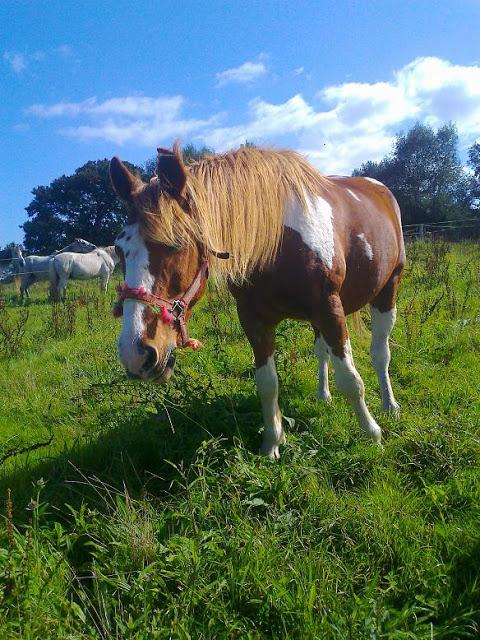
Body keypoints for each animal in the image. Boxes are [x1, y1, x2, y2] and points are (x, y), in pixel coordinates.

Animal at [109, 145, 405, 458]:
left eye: (175, 243)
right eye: (119, 248)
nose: (135, 354)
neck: (275, 241)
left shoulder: (330, 309)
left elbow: (350, 379)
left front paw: (371, 434)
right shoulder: (253, 319)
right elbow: (267, 383)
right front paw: (272, 443)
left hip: (387, 290)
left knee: (380, 353)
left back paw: (389, 405)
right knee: (322, 351)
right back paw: (323, 396)